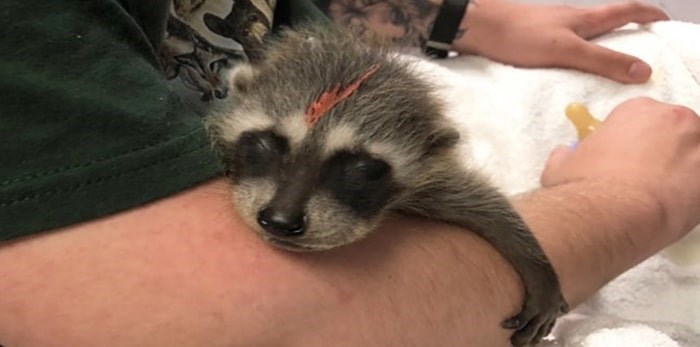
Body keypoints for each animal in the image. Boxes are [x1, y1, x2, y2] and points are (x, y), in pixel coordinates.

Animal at [206, 23, 568, 346]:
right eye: (265, 143)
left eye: (360, 169)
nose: (280, 220)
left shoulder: (431, 181)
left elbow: (484, 204)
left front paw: (536, 264)